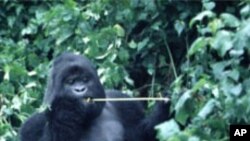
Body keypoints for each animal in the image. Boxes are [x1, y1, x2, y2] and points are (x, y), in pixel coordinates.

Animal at [20, 52, 170, 141]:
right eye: (71, 82)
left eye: (85, 79)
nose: (80, 89)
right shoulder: (31, 125)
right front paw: (65, 114)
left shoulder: (125, 103)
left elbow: (145, 135)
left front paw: (164, 108)